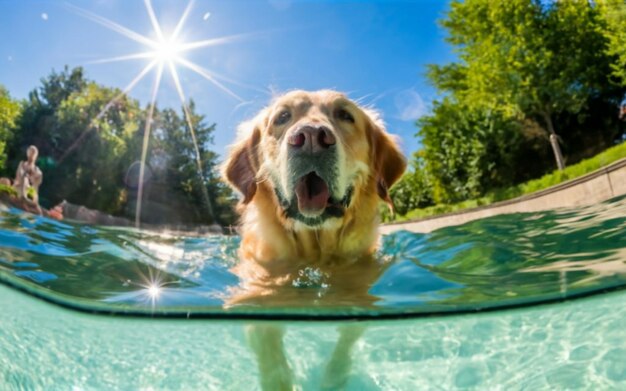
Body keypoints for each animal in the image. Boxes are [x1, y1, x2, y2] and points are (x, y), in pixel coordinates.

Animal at [221, 90, 404, 390]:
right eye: (283, 117)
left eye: (344, 115)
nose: (311, 138)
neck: (314, 250)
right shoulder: (255, 299)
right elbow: (270, 355)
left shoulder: (360, 298)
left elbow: (346, 343)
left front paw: (332, 378)